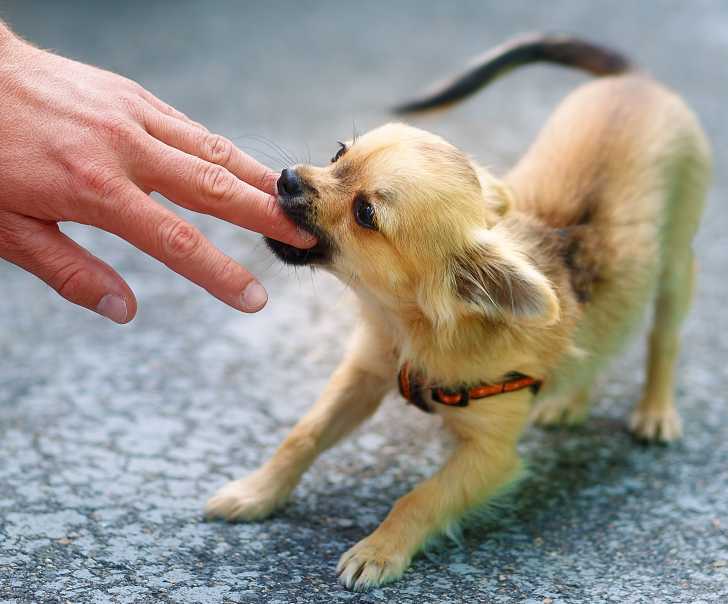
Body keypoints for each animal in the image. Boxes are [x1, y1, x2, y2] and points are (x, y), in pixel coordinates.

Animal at [205, 33, 712, 588]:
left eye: (365, 213)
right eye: (339, 153)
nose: (287, 178)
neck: (410, 327)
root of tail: (636, 81)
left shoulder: (491, 458)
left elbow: (421, 498)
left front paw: (380, 549)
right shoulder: (364, 373)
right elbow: (303, 435)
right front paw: (256, 492)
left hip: (676, 267)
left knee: (663, 340)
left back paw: (655, 411)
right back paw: (569, 401)